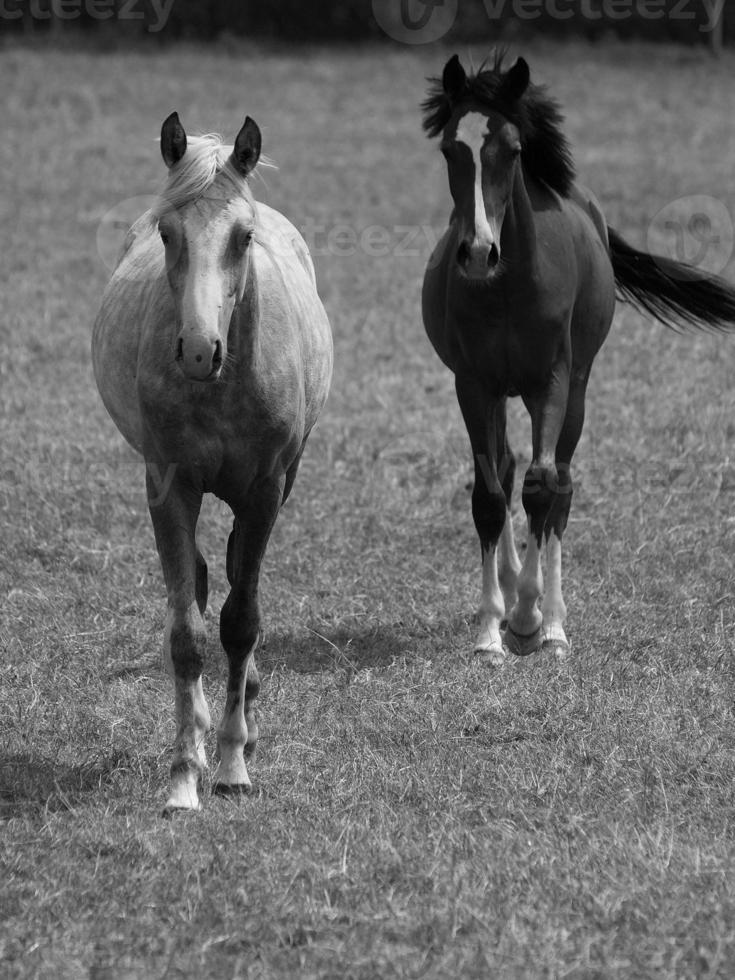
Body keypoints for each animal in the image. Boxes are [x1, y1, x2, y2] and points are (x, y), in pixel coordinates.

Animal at [92, 113, 334, 812]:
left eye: (241, 236)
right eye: (167, 233)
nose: (200, 352)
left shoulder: (264, 492)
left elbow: (241, 622)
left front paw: (232, 763)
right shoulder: (168, 487)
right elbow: (188, 632)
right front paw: (184, 773)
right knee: (200, 583)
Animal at [422, 53, 735, 668]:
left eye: (513, 149)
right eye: (450, 149)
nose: (478, 252)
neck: (507, 286)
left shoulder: (553, 381)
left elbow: (544, 489)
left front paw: (534, 621)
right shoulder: (474, 384)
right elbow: (489, 495)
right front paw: (490, 631)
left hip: (579, 389)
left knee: (559, 487)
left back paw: (547, 618)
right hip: (500, 393)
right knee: (507, 468)